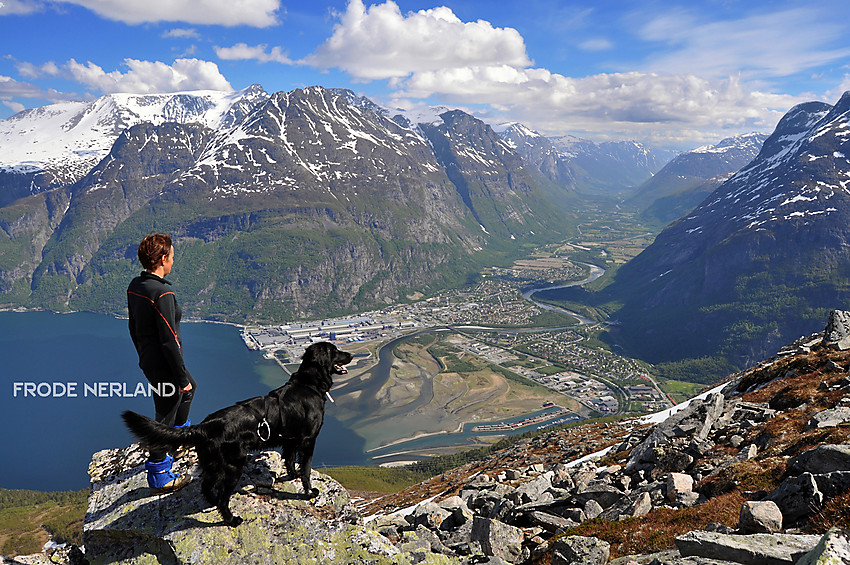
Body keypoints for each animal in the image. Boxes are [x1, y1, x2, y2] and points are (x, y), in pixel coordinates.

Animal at [120, 340, 352, 524]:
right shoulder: (309, 439)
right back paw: (231, 520)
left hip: (213, 464)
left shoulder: (291, 440)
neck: (308, 385)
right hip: (233, 466)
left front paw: (291, 475)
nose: (351, 355)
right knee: (223, 496)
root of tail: (206, 425)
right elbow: (306, 469)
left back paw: (213, 505)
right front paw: (309, 492)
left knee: (207, 487)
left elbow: (290, 459)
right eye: (335, 350)